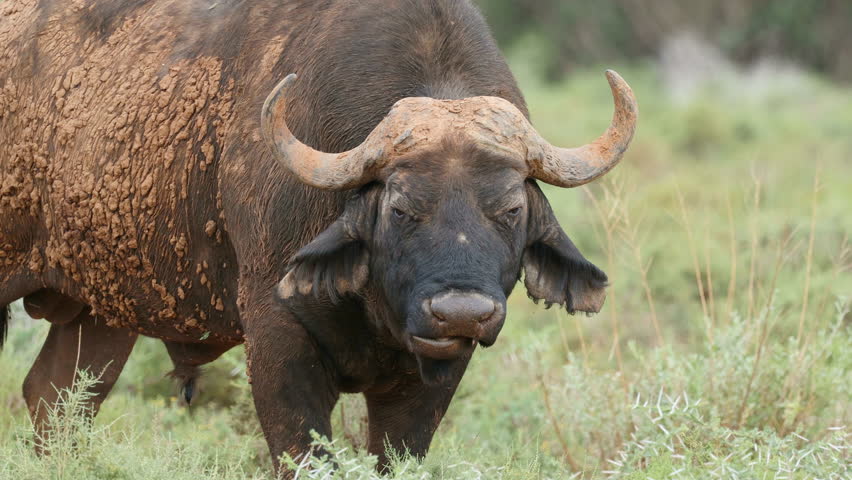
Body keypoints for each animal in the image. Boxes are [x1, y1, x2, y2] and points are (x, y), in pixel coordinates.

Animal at [0, 0, 637, 474]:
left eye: (509, 209)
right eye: (400, 208)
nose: (461, 312)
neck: (376, 302)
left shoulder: (432, 377)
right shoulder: (277, 343)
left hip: (98, 312)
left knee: (55, 399)